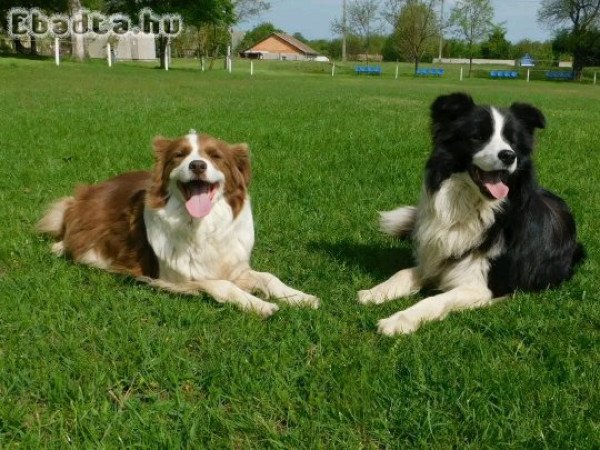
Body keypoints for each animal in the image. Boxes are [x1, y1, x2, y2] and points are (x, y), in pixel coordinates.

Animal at [37, 130, 318, 316]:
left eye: (215, 156)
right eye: (180, 155)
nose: (197, 165)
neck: (202, 226)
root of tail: (90, 190)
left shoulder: (235, 266)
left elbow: (270, 278)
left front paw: (300, 297)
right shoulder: (172, 278)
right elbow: (223, 285)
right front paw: (259, 304)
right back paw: (59, 246)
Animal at [358, 93, 584, 336]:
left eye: (512, 141)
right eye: (478, 137)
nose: (508, 155)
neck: (472, 208)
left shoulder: (482, 287)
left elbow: (435, 300)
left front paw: (399, 320)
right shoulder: (437, 259)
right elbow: (403, 272)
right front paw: (374, 292)